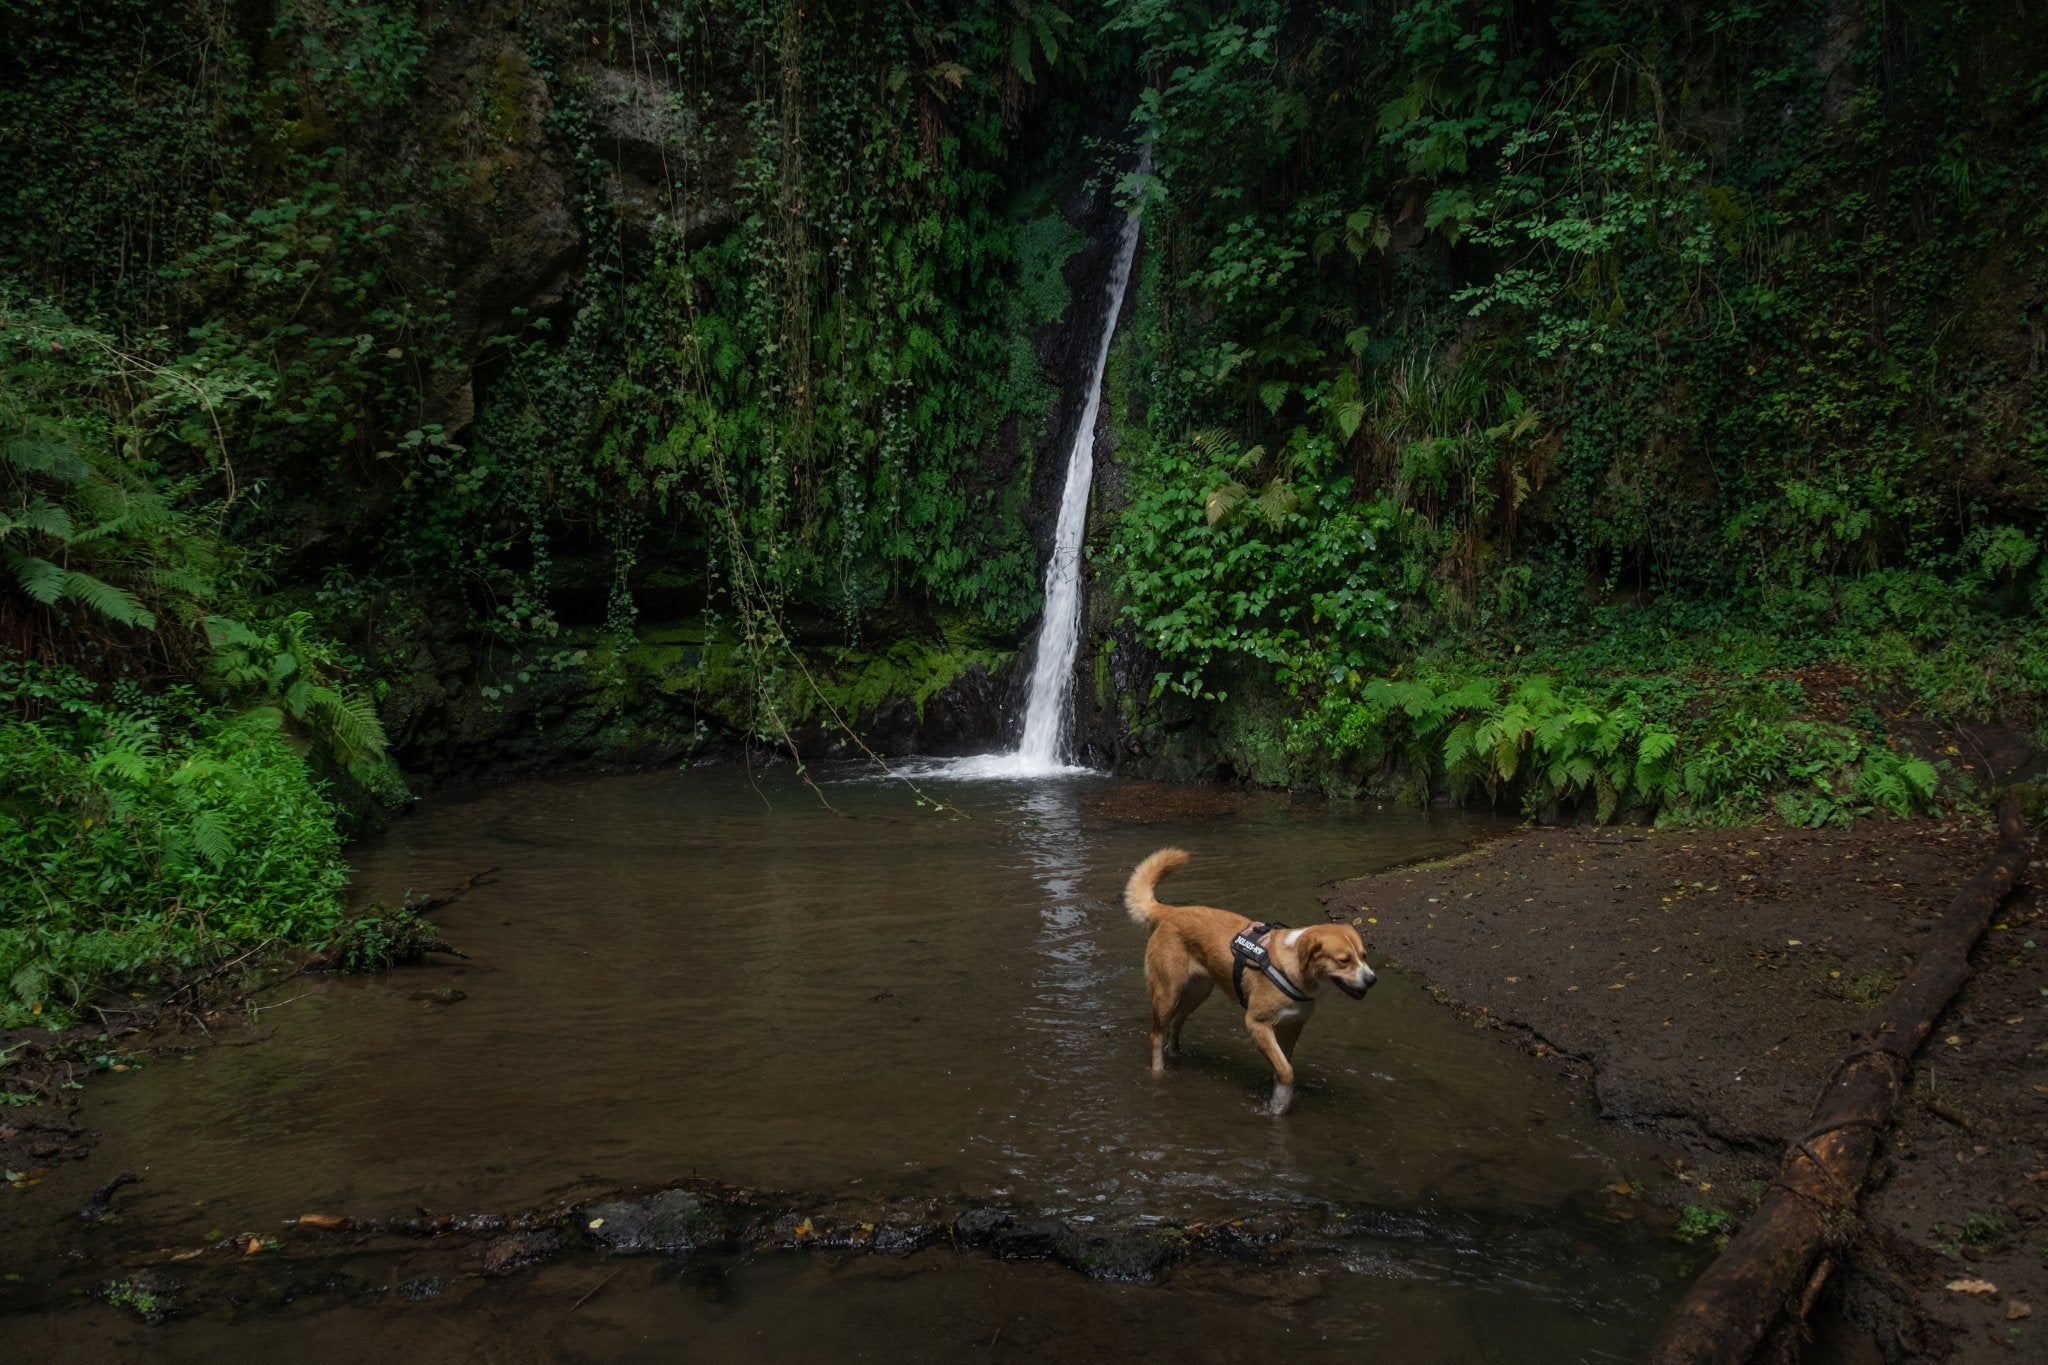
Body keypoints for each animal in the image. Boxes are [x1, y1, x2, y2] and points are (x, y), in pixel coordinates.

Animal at [1130, 847, 1368, 1113]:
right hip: (1168, 992)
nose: (1372, 980)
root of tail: (1170, 911)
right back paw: (1159, 1073)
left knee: (1177, 1023)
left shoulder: (1291, 1027)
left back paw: (1176, 1055)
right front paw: (1279, 1105)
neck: (1292, 968)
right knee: (1156, 1034)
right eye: (1344, 960)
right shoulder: (1257, 1024)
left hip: (1198, 992)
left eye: (1364, 956)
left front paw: (1278, 1097)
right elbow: (1286, 1071)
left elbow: (1283, 1067)